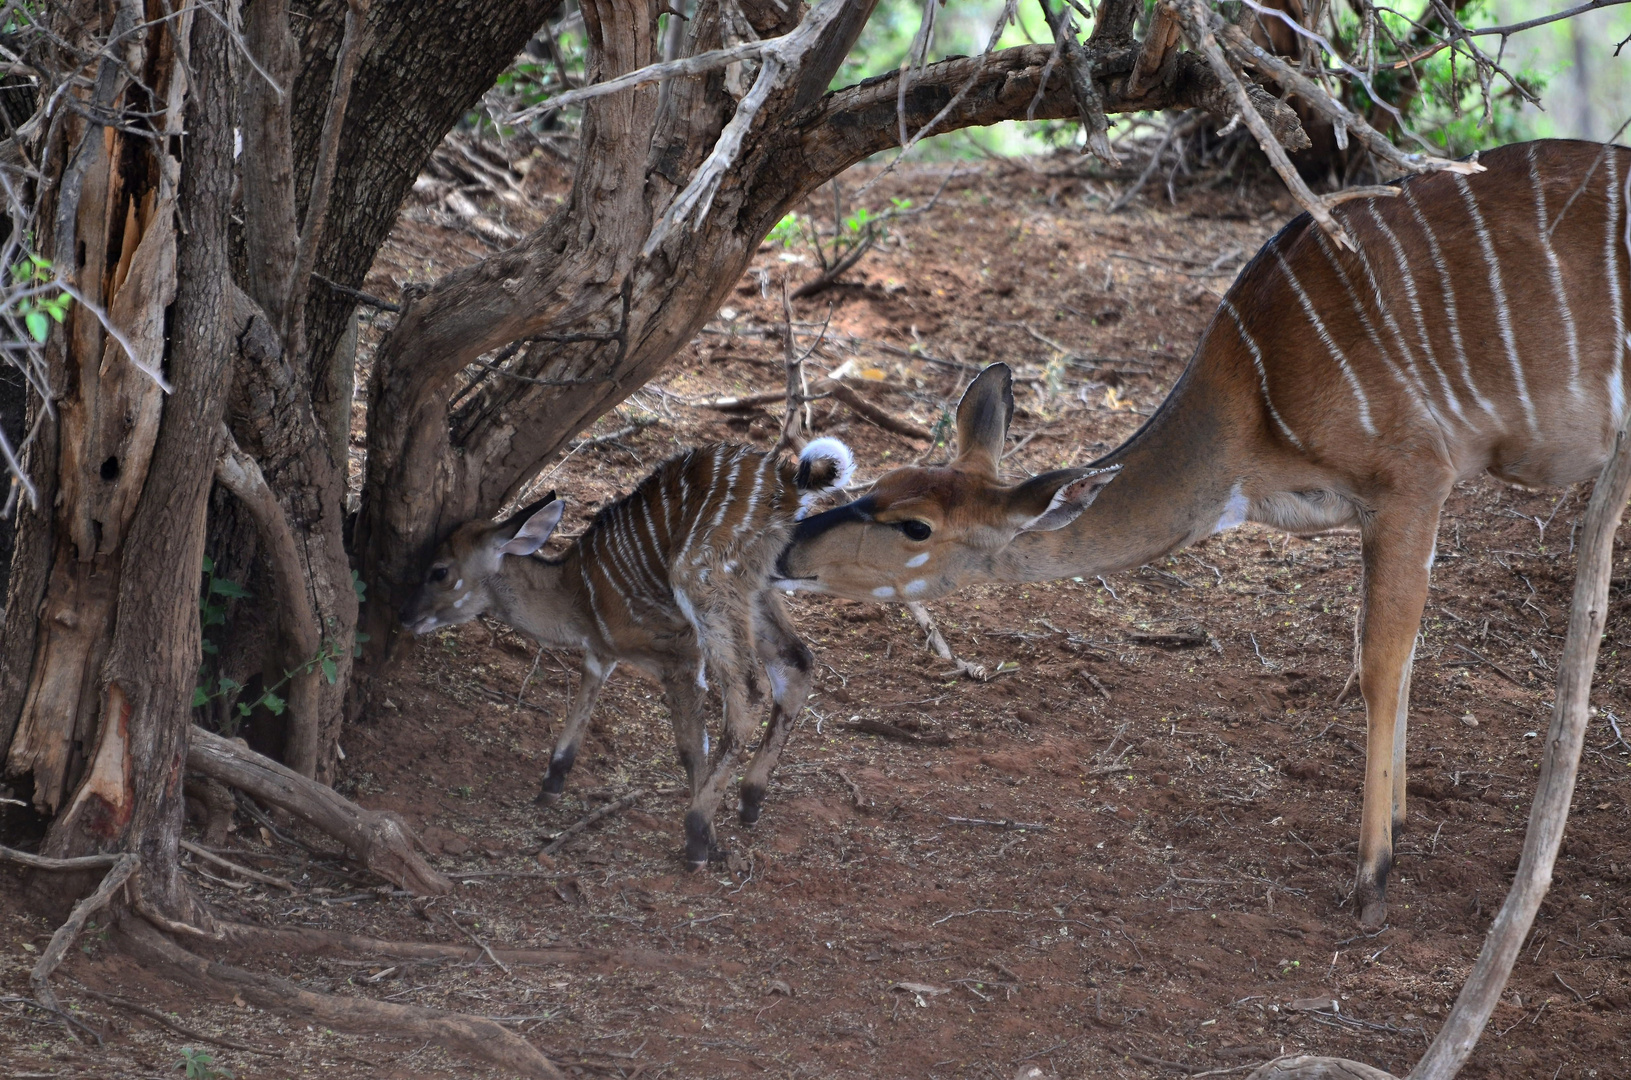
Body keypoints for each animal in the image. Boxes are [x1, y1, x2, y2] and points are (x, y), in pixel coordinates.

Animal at [404, 440, 854, 874]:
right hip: (757, 588)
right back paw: (749, 801)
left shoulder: (680, 656)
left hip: (707, 585)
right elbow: (585, 704)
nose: (407, 616)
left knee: (750, 691)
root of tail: (790, 481)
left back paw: (696, 831)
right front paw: (550, 784)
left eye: (439, 571)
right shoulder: (601, 654)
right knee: (796, 663)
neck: (575, 597)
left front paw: (709, 843)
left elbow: (692, 747)